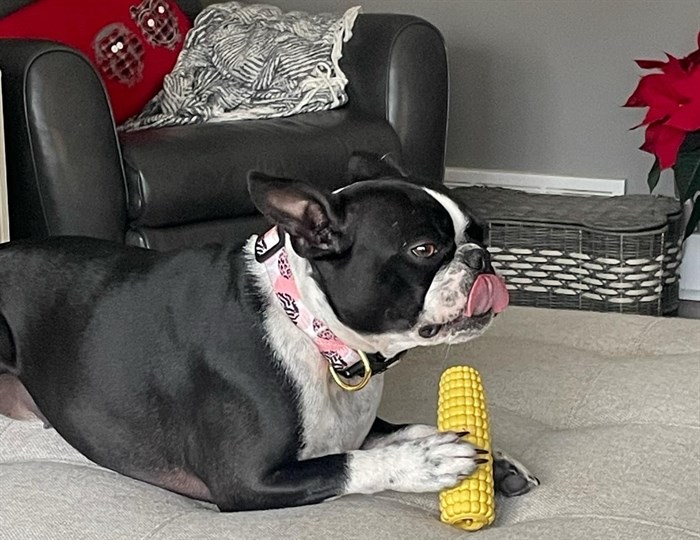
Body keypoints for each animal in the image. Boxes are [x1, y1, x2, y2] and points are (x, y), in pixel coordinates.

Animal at [0, 153, 536, 510]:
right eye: (423, 249)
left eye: (482, 233)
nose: (480, 258)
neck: (314, 332)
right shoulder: (246, 480)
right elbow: (347, 464)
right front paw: (424, 463)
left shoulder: (356, 427)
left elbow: (407, 428)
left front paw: (494, 460)